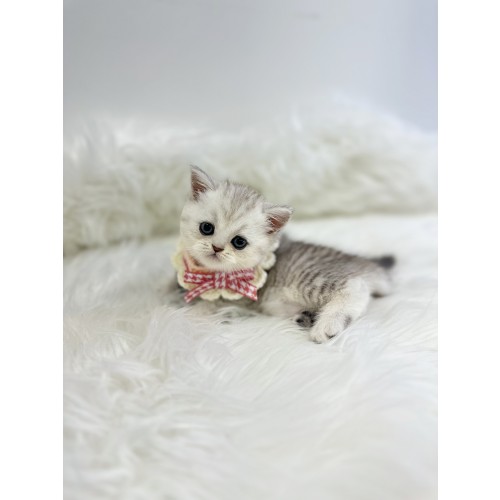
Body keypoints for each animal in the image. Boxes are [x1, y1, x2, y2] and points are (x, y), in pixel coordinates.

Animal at [174, 166, 395, 343]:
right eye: (206, 228)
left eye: (239, 242)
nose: (217, 247)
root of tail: (366, 264)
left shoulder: (240, 298)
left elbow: (207, 306)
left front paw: (186, 317)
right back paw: (306, 317)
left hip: (311, 277)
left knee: (356, 287)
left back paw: (327, 325)